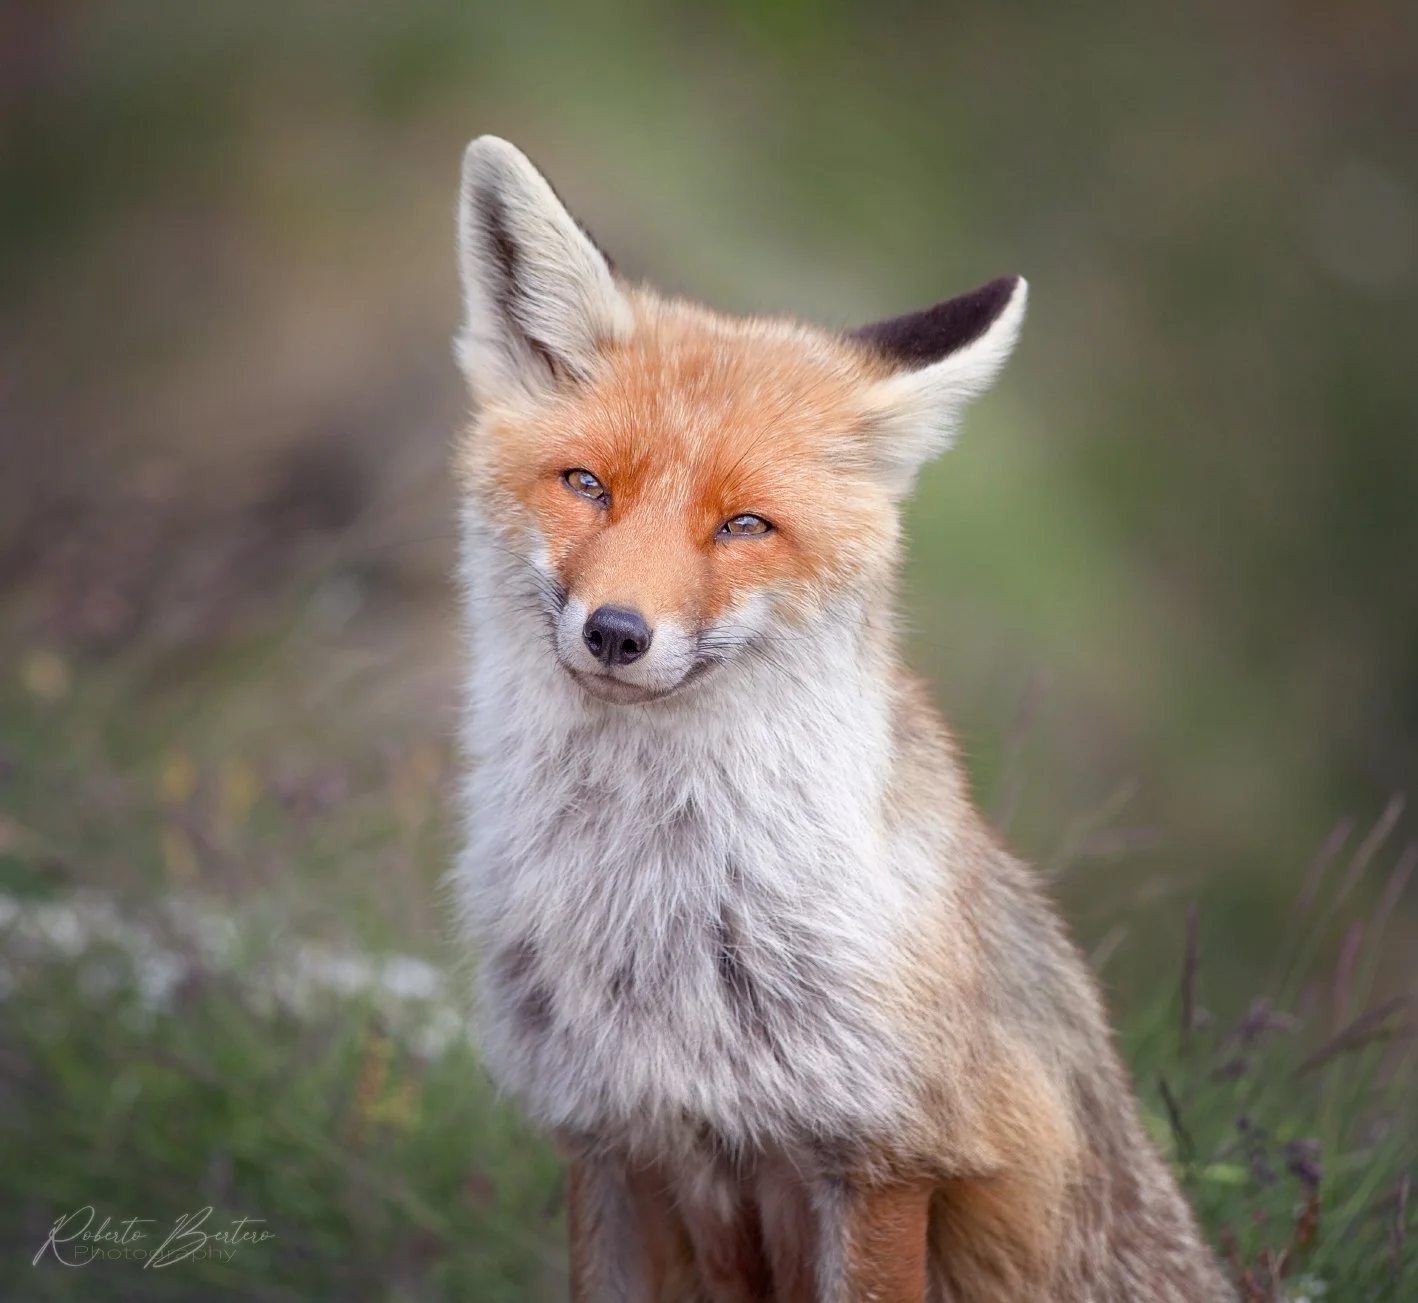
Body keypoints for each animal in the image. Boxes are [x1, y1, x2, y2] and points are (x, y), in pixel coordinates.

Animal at [449, 136, 1234, 1302]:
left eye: (743, 526)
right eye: (585, 484)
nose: (616, 633)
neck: (658, 916)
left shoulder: (882, 1160)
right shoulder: (606, 1139)